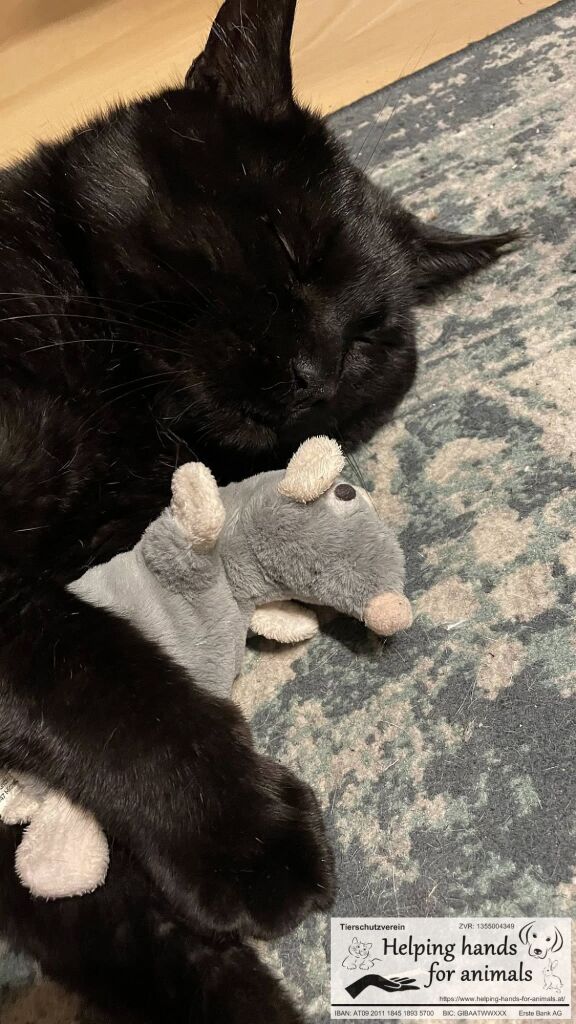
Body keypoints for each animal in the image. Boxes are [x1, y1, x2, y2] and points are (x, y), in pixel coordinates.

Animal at [0, 0, 516, 1019]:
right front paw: (244, 834)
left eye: (371, 337)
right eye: (291, 252)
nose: (316, 372)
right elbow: (100, 669)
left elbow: (96, 916)